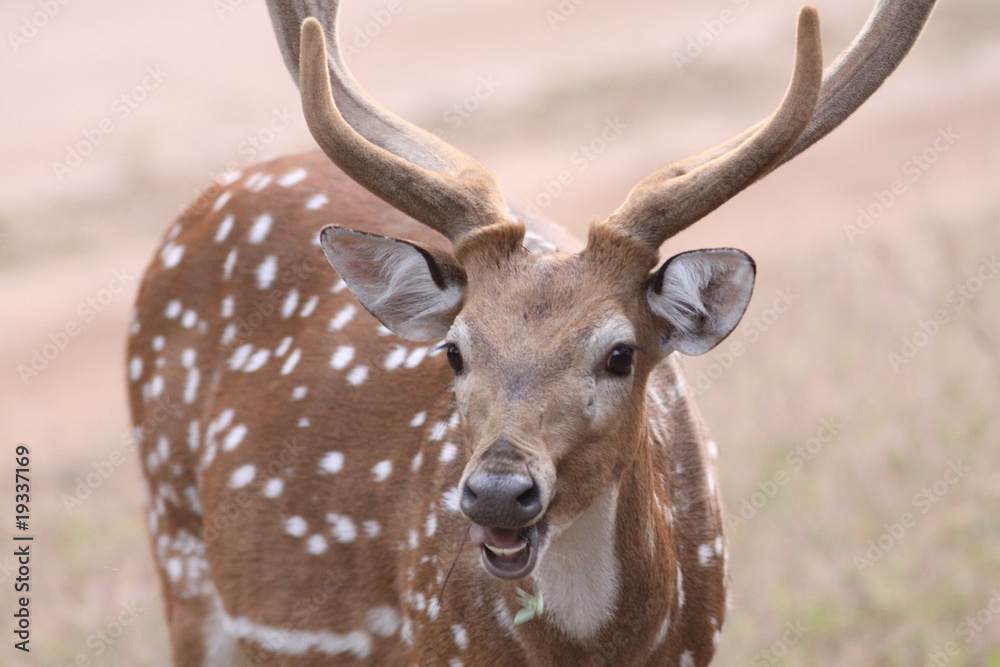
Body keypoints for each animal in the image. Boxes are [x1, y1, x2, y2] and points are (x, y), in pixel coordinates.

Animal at [126, 1, 934, 664]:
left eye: (620, 353)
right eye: (455, 351)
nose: (496, 492)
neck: (597, 652)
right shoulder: (439, 641)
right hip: (179, 554)